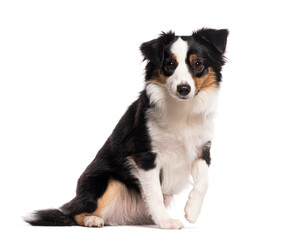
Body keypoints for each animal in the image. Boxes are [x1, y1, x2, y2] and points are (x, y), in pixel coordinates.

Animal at [24, 28, 228, 229]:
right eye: (170, 64)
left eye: (198, 64)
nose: (183, 89)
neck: (182, 109)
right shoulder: (145, 155)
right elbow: (155, 193)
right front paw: (166, 221)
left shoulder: (202, 148)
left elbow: (203, 181)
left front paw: (192, 211)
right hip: (107, 182)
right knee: (75, 213)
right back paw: (92, 220)